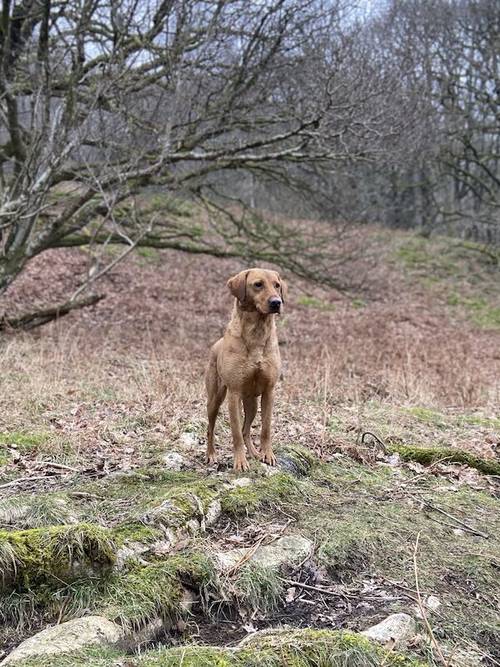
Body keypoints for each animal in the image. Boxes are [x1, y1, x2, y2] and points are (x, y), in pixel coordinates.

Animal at [205, 268, 288, 472]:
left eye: (277, 285)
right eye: (258, 284)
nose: (277, 302)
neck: (257, 332)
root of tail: (216, 344)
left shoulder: (269, 391)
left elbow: (265, 428)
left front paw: (267, 454)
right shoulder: (234, 394)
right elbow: (235, 432)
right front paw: (240, 461)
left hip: (252, 403)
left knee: (246, 429)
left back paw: (254, 453)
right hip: (214, 399)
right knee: (211, 428)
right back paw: (211, 455)